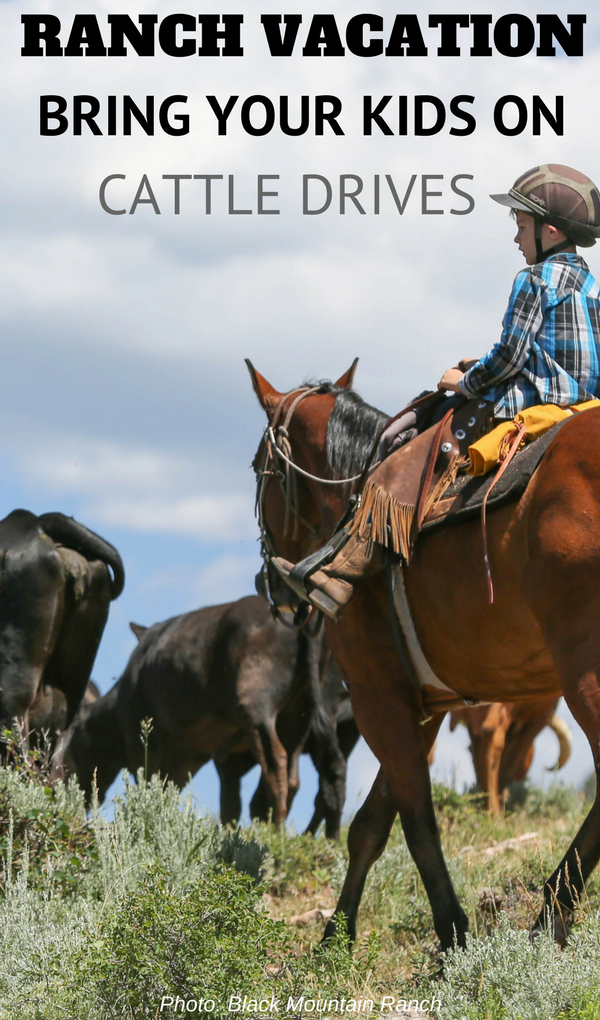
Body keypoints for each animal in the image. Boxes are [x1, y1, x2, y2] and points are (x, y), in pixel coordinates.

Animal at [245, 363, 600, 950]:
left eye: (259, 468)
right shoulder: (424, 705)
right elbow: (371, 824)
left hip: (584, 674)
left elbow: (416, 821)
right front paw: (336, 936)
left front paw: (452, 935)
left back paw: (549, 915)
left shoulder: (377, 698)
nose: (272, 584)